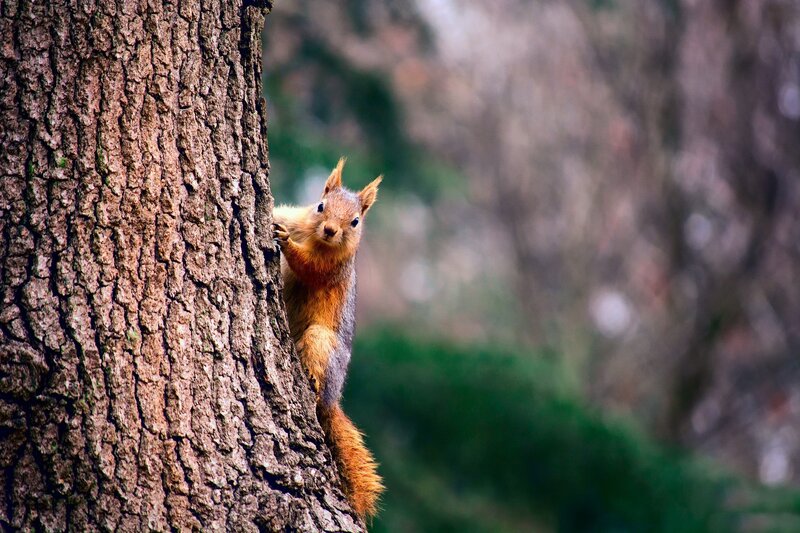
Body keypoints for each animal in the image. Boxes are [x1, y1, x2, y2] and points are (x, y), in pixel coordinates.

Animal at [272, 157, 384, 519]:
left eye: (355, 221)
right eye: (320, 206)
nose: (331, 230)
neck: (313, 237)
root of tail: (335, 398)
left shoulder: (332, 267)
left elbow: (308, 267)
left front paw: (286, 244)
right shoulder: (296, 217)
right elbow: (282, 214)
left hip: (321, 341)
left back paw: (313, 380)